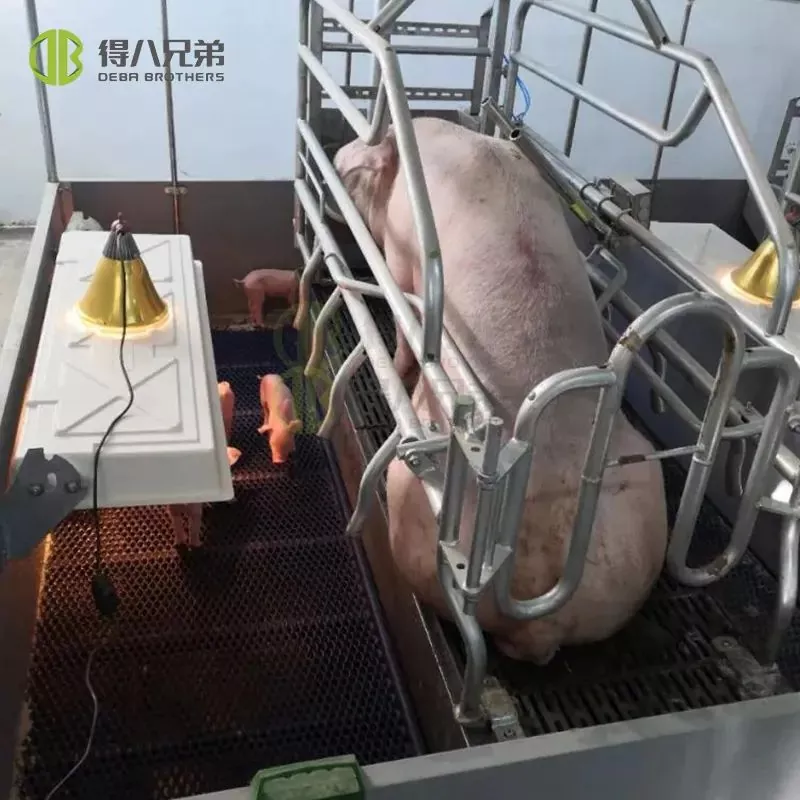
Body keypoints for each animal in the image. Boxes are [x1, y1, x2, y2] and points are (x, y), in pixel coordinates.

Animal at [333, 116, 668, 664]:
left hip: (415, 503)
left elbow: (403, 329)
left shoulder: (403, 259)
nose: (338, 155)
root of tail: (533, 581)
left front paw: (402, 369)